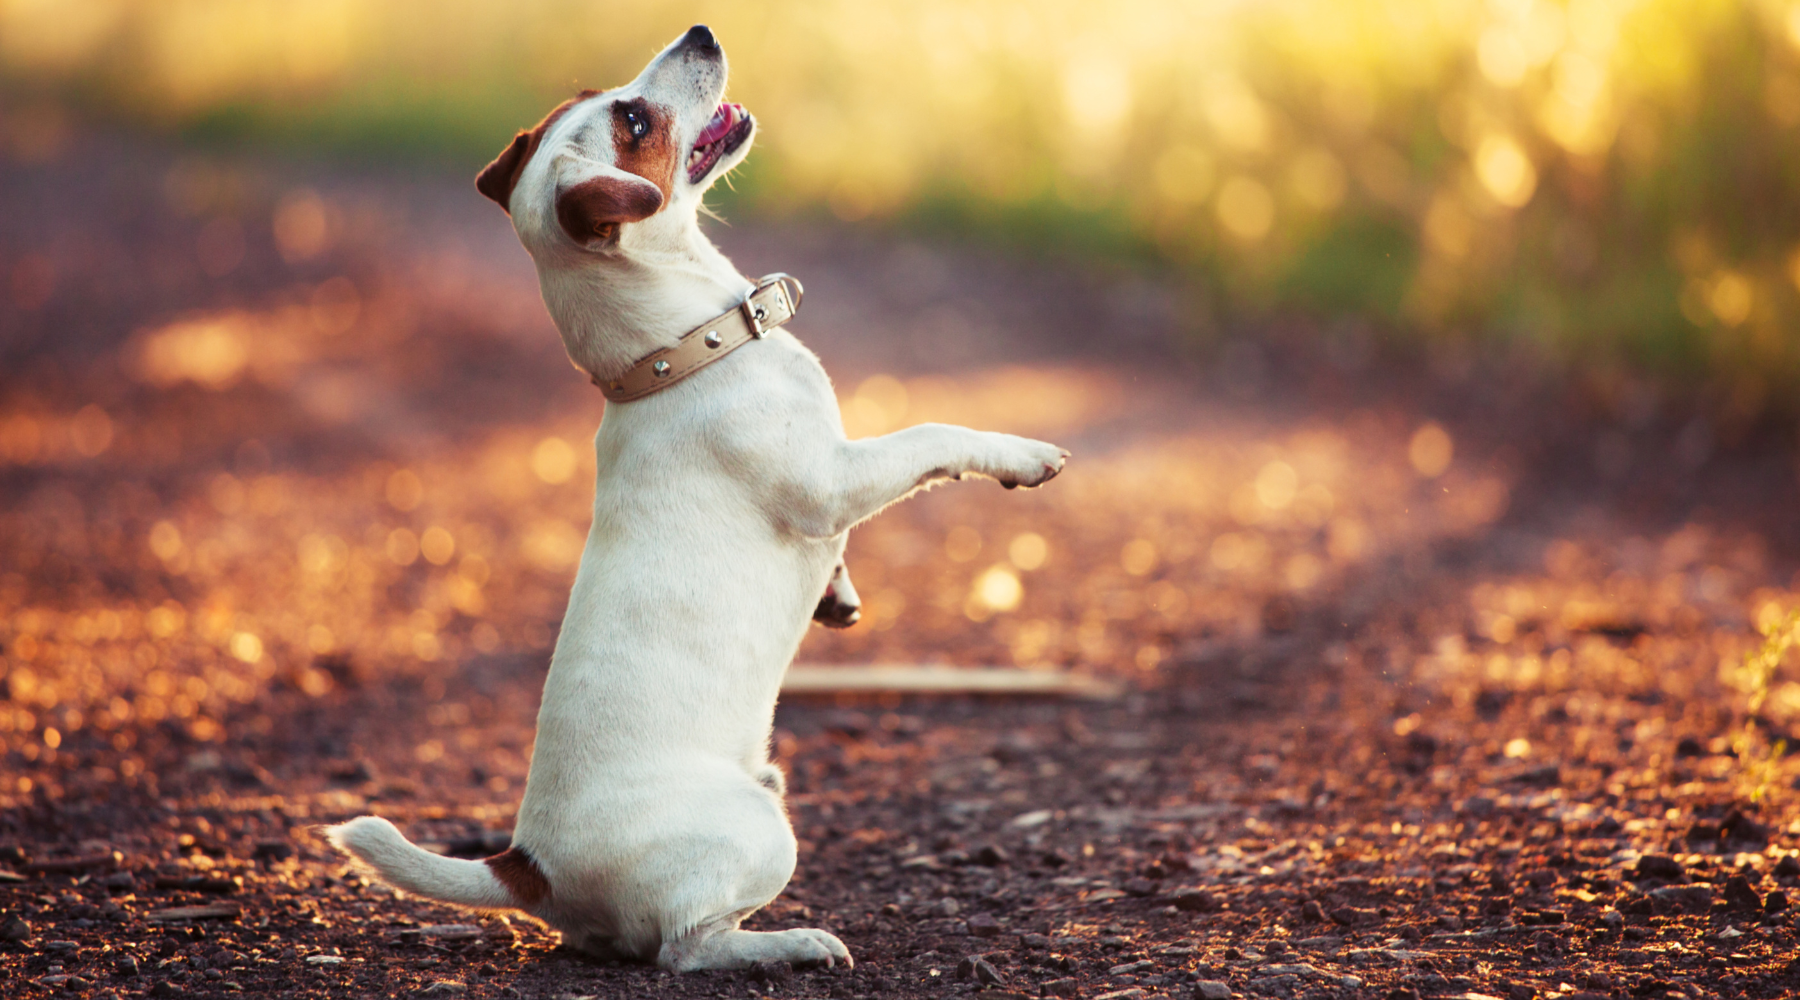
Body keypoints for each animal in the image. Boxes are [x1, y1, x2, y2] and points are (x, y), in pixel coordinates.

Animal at [327, 27, 1065, 971]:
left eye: (600, 96)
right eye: (634, 119)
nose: (701, 33)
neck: (679, 353)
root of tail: (529, 868)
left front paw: (839, 595)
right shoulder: (834, 483)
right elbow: (932, 435)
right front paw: (1024, 456)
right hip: (762, 832)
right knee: (685, 947)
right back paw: (792, 943)